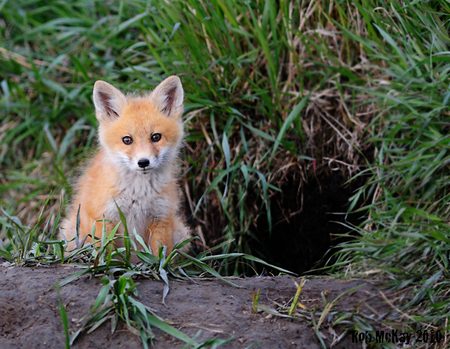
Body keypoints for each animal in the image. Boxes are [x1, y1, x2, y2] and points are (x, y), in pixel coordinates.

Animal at [59, 75, 190, 256]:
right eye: (127, 140)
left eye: (156, 137)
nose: (143, 162)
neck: (139, 193)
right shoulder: (104, 218)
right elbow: (104, 254)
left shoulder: (161, 217)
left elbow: (160, 255)